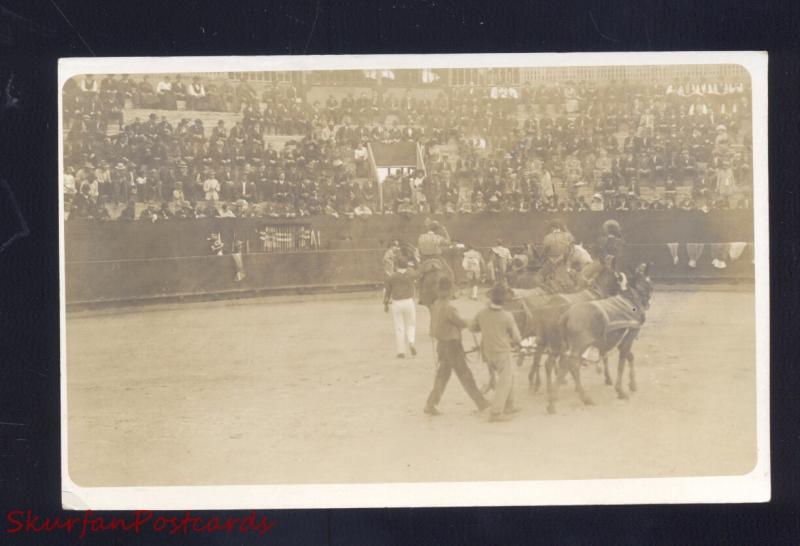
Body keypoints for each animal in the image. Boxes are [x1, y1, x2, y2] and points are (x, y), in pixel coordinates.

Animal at [552, 264, 656, 412]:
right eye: (650, 283)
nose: (648, 303)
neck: (631, 299)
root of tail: (567, 315)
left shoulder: (621, 340)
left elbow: (629, 357)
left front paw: (632, 383)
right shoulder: (629, 336)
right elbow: (622, 363)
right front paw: (620, 390)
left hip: (567, 346)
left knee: (563, 365)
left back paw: (553, 398)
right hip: (579, 346)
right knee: (573, 366)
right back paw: (584, 397)